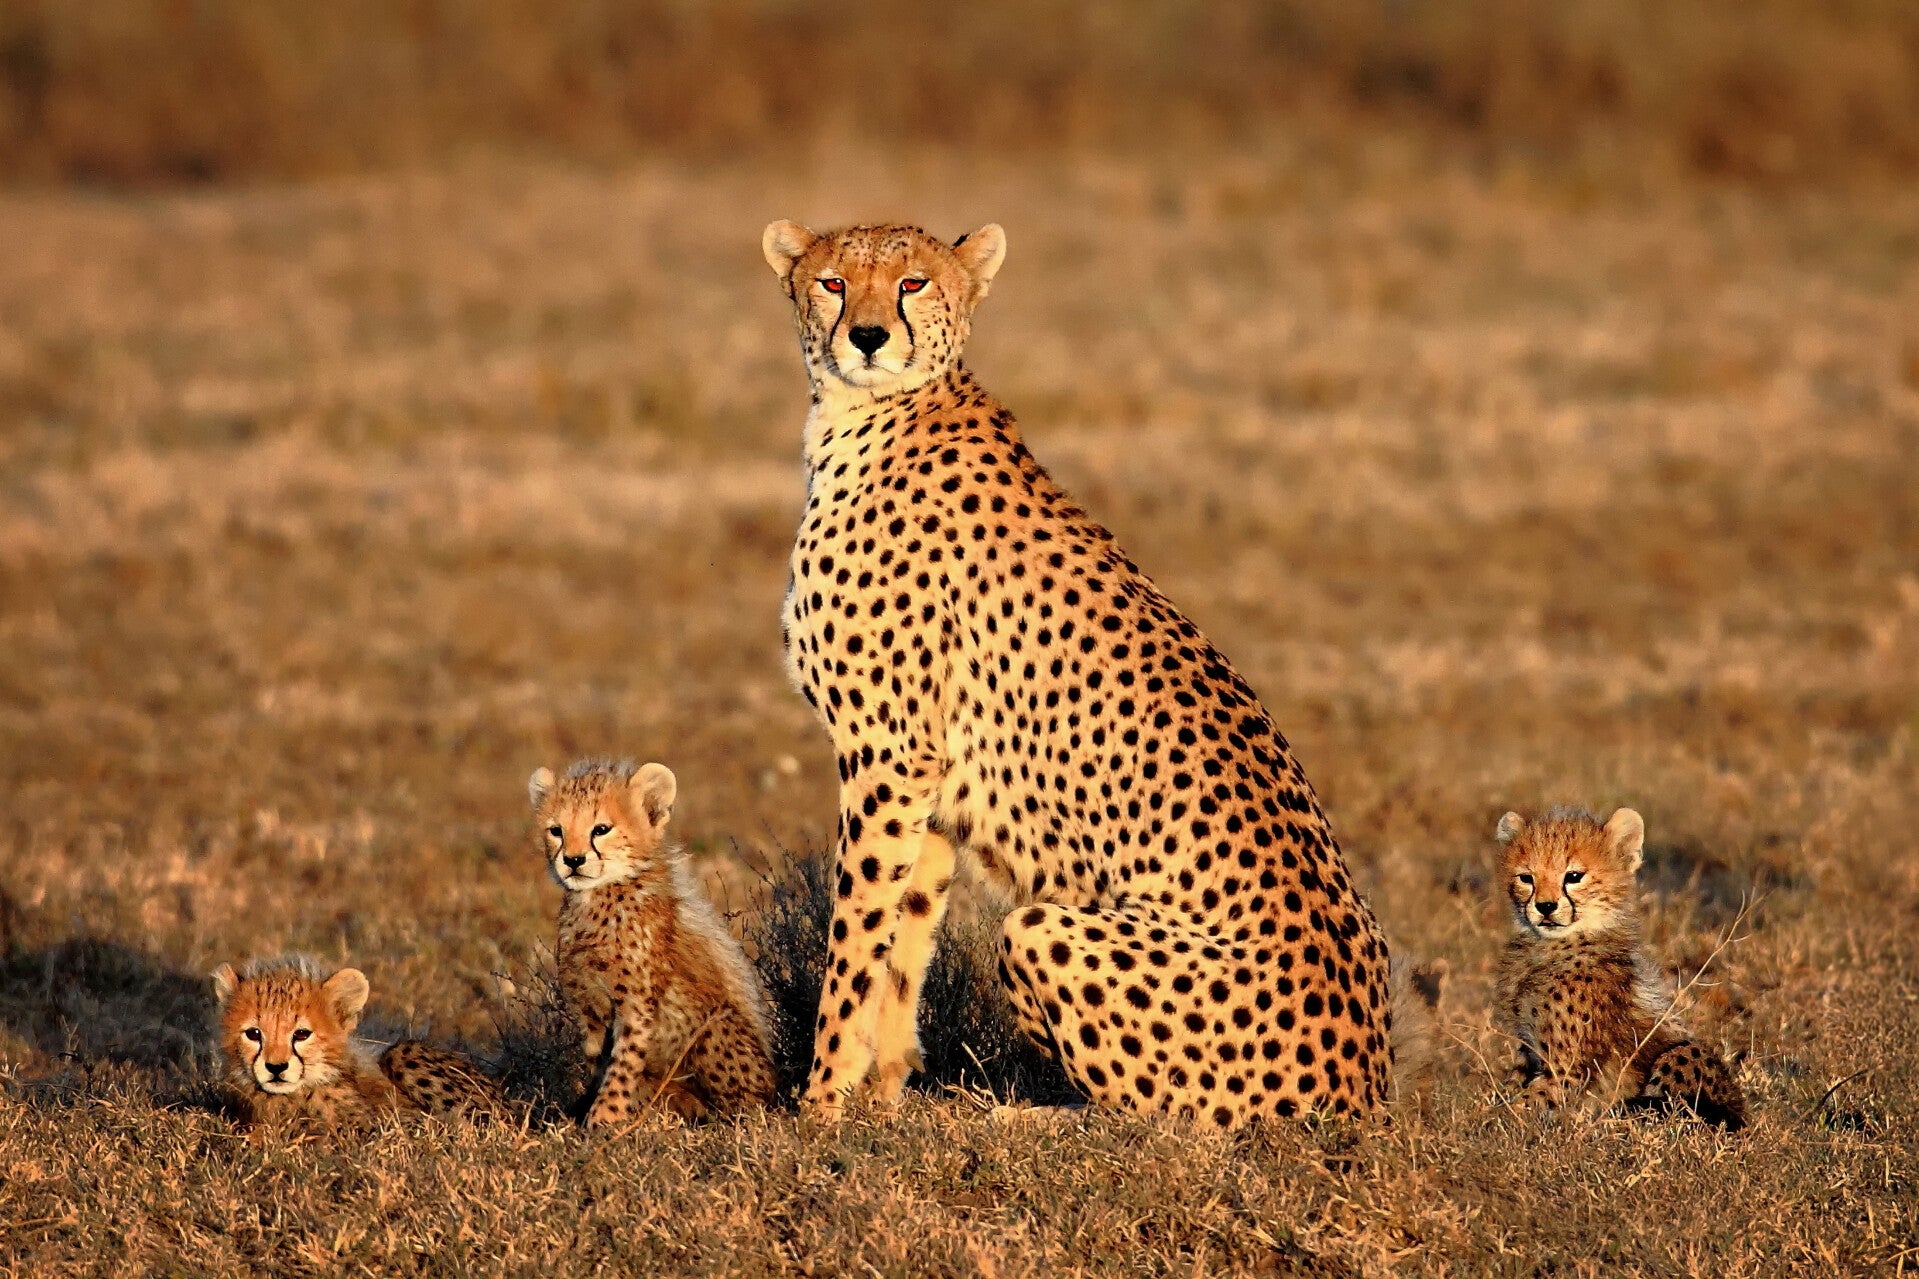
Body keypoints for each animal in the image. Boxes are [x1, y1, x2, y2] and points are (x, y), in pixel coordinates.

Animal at [529, 758, 777, 1125]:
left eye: (601, 829)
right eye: (556, 830)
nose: (572, 860)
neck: (597, 897)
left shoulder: (636, 1004)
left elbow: (623, 1064)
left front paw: (603, 1118)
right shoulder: (589, 1009)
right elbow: (597, 1063)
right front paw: (588, 1110)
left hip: (714, 1027)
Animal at [762, 219, 1392, 1126]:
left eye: (913, 283)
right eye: (834, 283)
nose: (870, 337)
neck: (872, 414)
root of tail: (1365, 1087)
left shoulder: (887, 754)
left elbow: (853, 941)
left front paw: (818, 1101)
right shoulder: (928, 775)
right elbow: (904, 937)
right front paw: (880, 1094)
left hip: (1043, 931)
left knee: (1164, 1120)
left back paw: (1020, 1116)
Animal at [1493, 806, 1747, 1129]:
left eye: (1573, 876)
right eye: (1526, 878)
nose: (1545, 906)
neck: (1552, 946)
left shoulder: (1566, 1069)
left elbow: (1520, 1105)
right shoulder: (1528, 1048)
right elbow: (1510, 1089)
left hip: (1684, 1054)